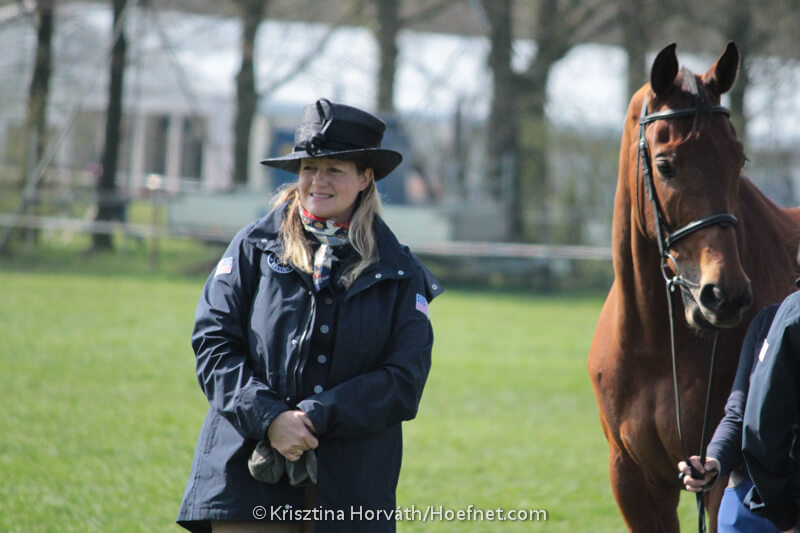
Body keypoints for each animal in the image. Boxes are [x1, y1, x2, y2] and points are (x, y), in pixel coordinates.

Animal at [588, 41, 800, 532]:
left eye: (739, 160)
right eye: (665, 165)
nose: (725, 295)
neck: (656, 346)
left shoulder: (718, 478)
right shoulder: (635, 480)